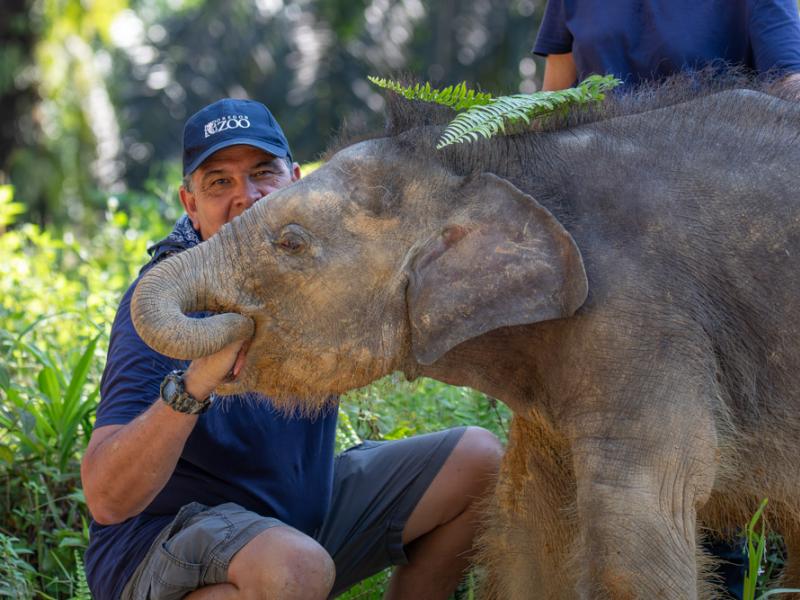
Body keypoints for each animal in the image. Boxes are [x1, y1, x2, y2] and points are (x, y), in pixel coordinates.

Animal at [131, 77, 800, 598]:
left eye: (291, 243)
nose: (161, 249)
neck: (493, 162)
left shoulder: (645, 323)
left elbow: (634, 546)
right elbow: (528, 541)